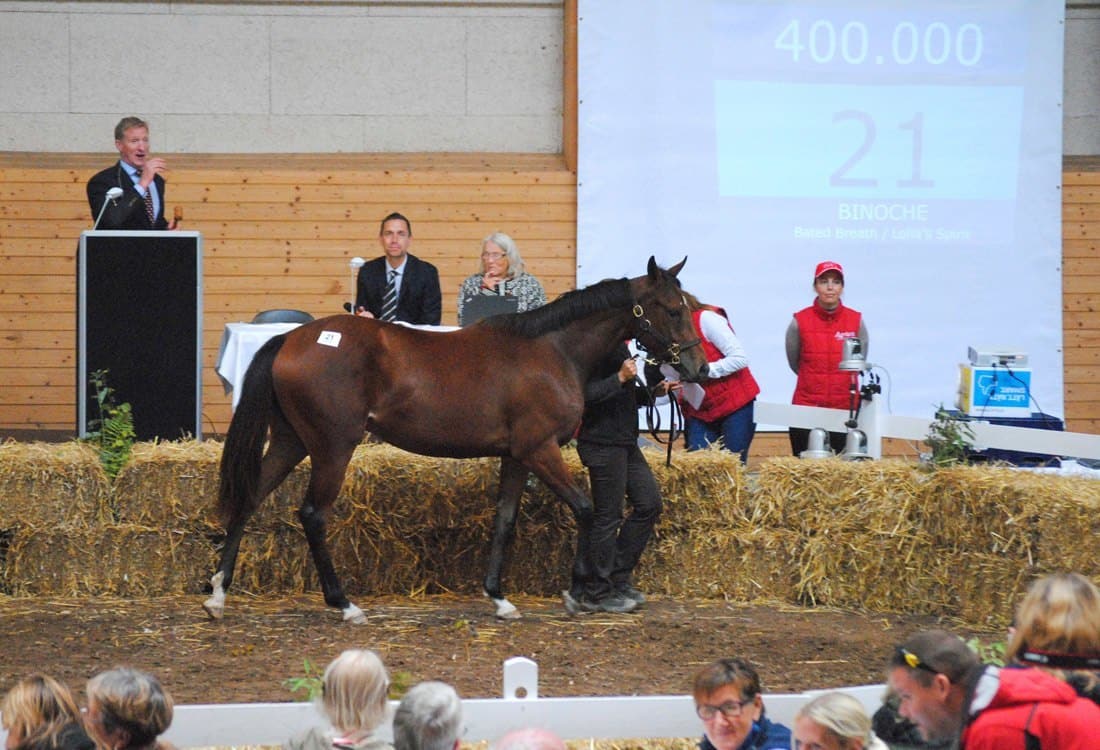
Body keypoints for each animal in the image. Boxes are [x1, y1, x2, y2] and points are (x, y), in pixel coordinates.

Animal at [202, 255, 708, 620]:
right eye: (672, 309)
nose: (698, 367)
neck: (551, 350)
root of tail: (291, 339)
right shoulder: (540, 450)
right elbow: (585, 509)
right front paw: (580, 591)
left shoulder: (517, 455)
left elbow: (505, 520)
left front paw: (499, 598)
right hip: (332, 448)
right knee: (312, 515)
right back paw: (343, 604)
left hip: (291, 441)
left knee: (249, 498)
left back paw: (218, 594)